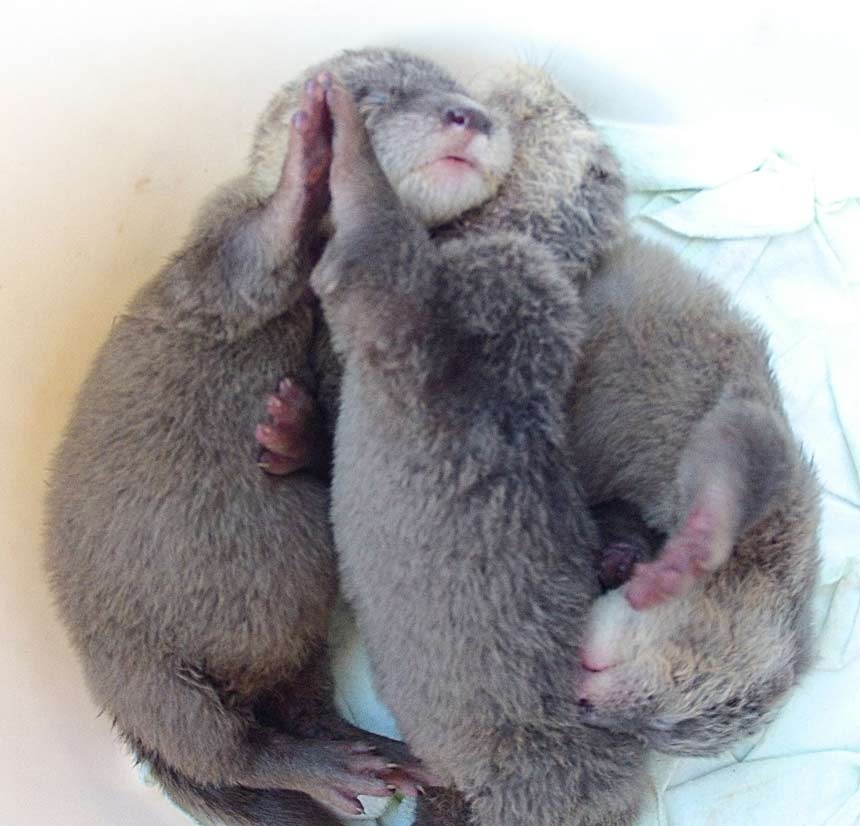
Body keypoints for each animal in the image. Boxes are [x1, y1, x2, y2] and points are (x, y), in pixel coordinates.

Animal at [43, 48, 514, 826]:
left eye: (463, 91)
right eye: (377, 94)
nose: (470, 115)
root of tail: (127, 725)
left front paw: (293, 432)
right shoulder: (206, 263)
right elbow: (249, 262)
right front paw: (309, 161)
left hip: (290, 650)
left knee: (293, 710)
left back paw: (369, 755)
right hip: (151, 677)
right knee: (231, 749)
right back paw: (328, 768)